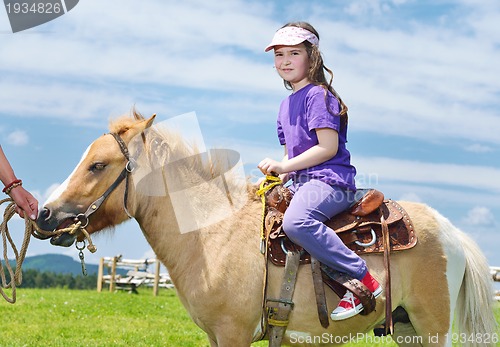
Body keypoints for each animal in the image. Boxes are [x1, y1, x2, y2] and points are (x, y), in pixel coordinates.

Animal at [36, 112, 496, 347]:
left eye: (98, 165)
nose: (44, 215)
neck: (212, 235)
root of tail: (452, 232)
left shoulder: (234, 334)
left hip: (432, 328)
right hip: (406, 329)